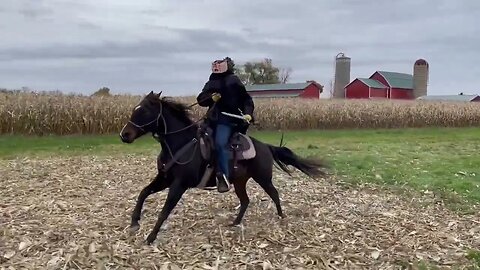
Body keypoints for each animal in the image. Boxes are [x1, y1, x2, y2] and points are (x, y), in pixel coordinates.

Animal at [120, 91, 330, 245]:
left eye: (144, 111)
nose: (124, 135)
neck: (181, 143)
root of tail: (265, 146)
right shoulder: (164, 179)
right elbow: (143, 192)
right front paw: (134, 222)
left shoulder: (178, 185)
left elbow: (164, 211)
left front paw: (150, 237)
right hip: (239, 182)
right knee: (245, 201)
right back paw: (235, 222)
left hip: (263, 178)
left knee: (274, 193)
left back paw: (281, 217)